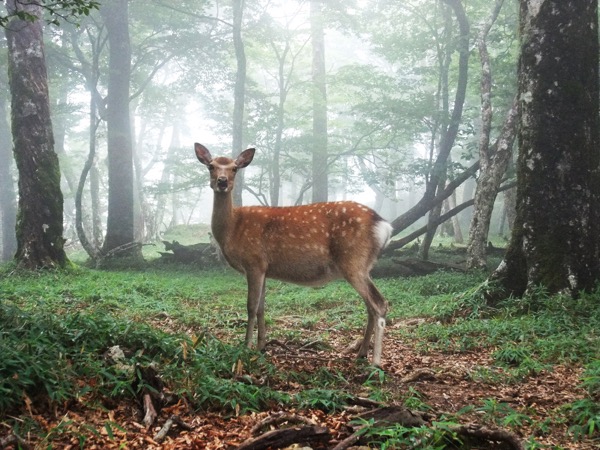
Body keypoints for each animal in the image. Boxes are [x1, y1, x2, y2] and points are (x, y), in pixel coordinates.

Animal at [196, 142, 394, 368]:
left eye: (234, 168)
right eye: (211, 166)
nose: (222, 182)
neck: (232, 228)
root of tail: (385, 226)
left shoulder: (254, 262)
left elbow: (251, 307)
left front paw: (246, 347)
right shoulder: (264, 269)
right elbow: (262, 307)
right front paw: (261, 346)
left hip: (354, 262)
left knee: (379, 304)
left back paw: (375, 362)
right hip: (363, 265)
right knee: (370, 306)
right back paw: (361, 353)